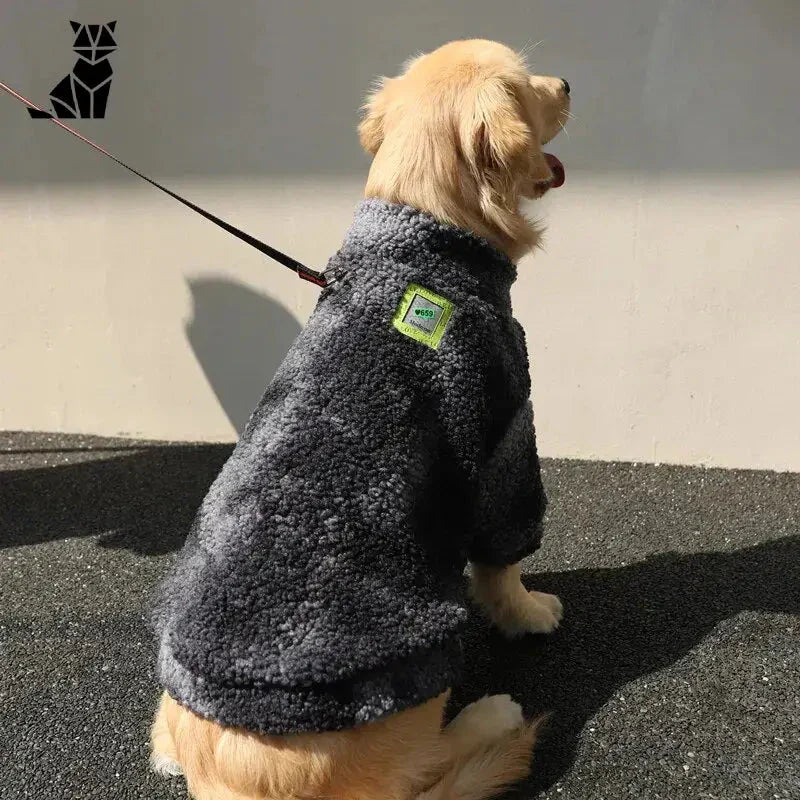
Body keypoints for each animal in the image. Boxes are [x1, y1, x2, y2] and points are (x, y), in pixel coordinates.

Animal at [150, 40, 572, 800]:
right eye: (530, 86)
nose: (569, 84)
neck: (420, 240)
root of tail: (226, 779)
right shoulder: (505, 437)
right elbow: (503, 563)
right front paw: (528, 612)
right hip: (410, 672)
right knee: (421, 767)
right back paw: (490, 716)